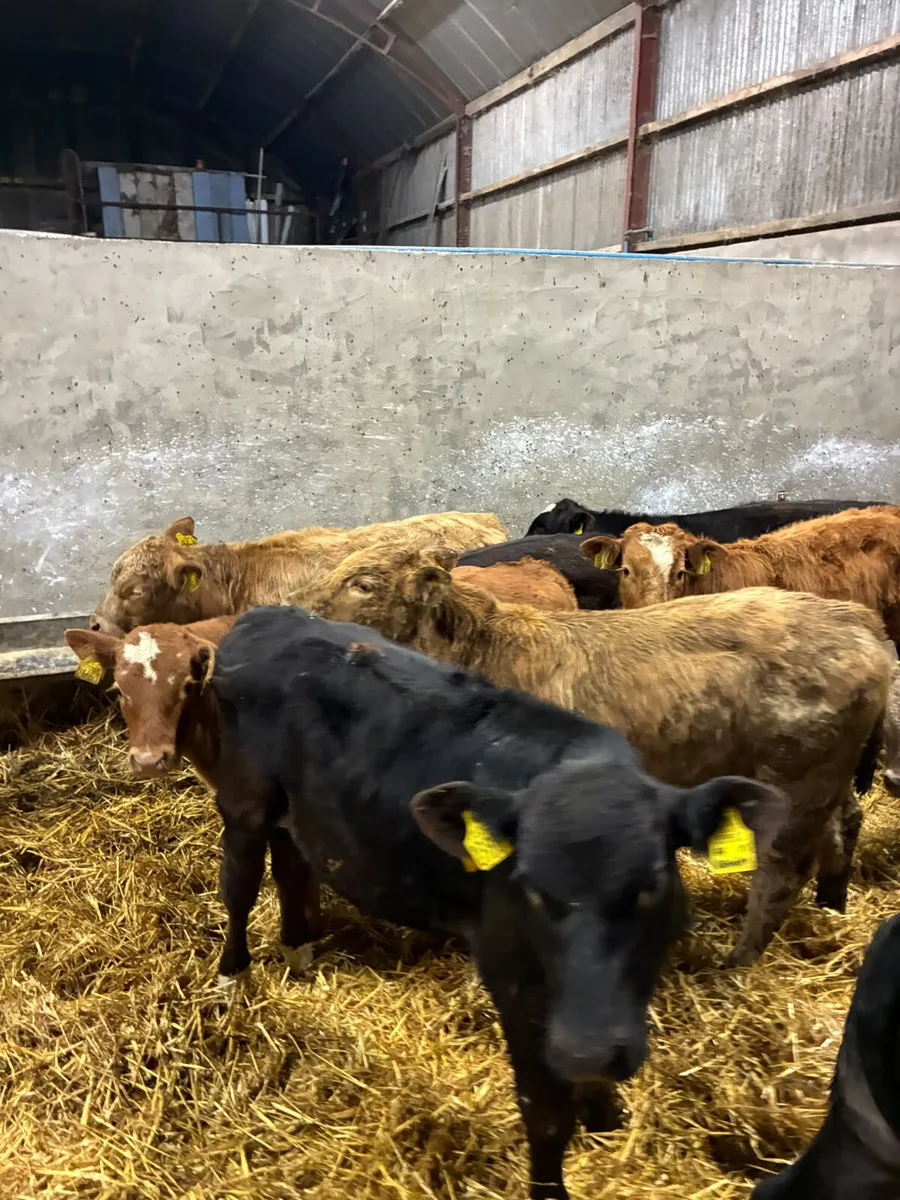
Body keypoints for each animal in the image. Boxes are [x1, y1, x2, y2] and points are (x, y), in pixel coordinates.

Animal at [69, 605, 784, 1200]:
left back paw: (299, 950)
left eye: (653, 884)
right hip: (245, 804)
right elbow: (543, 1112)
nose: (589, 1048)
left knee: (291, 864)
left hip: (296, 804)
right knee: (241, 886)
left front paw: (605, 1116)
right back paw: (231, 976)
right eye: (530, 886)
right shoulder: (514, 979)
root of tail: (264, 618)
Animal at [299, 545, 892, 966]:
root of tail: (855, 620)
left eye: (363, 583)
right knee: (843, 827)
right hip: (827, 778)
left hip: (798, 777)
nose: (302, 615)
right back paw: (833, 910)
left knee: (782, 870)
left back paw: (737, 962)